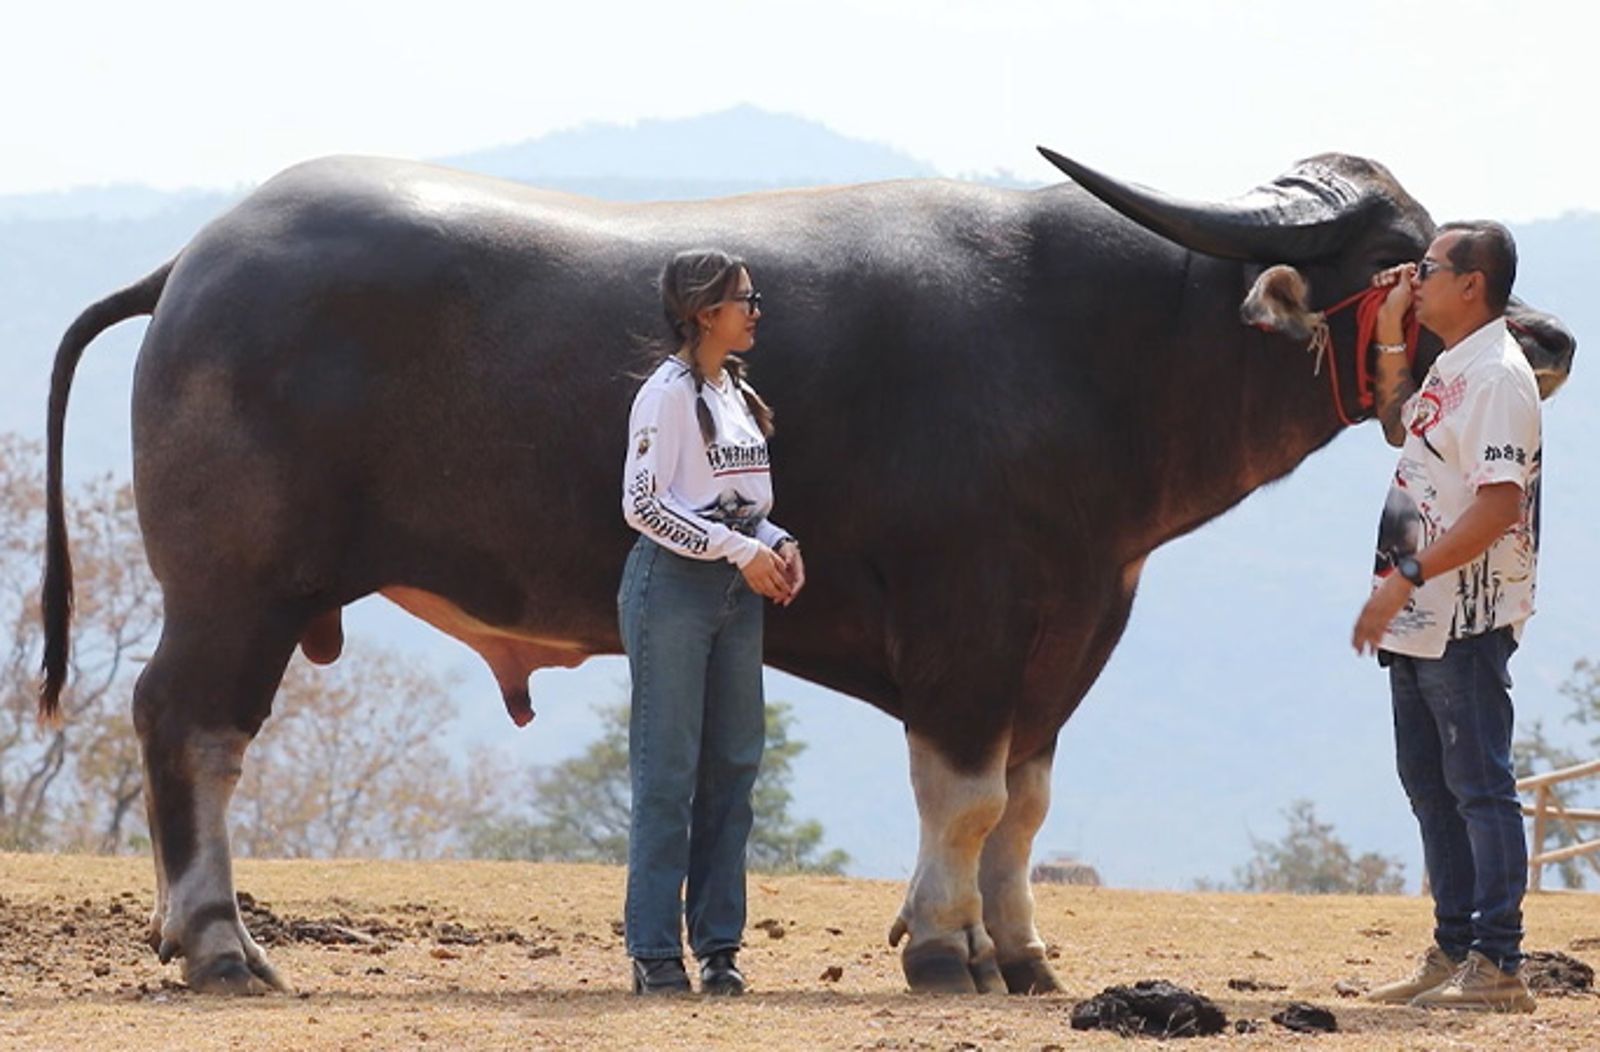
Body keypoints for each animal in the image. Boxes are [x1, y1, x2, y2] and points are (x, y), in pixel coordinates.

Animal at [40, 147, 1574, 991]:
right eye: (1404, 252)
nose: (1549, 338)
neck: (1091, 349)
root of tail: (196, 263)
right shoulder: (969, 629)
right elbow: (963, 797)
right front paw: (945, 952)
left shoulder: (1072, 630)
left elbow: (1022, 805)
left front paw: (1019, 954)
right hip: (234, 590)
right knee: (190, 728)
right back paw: (219, 944)